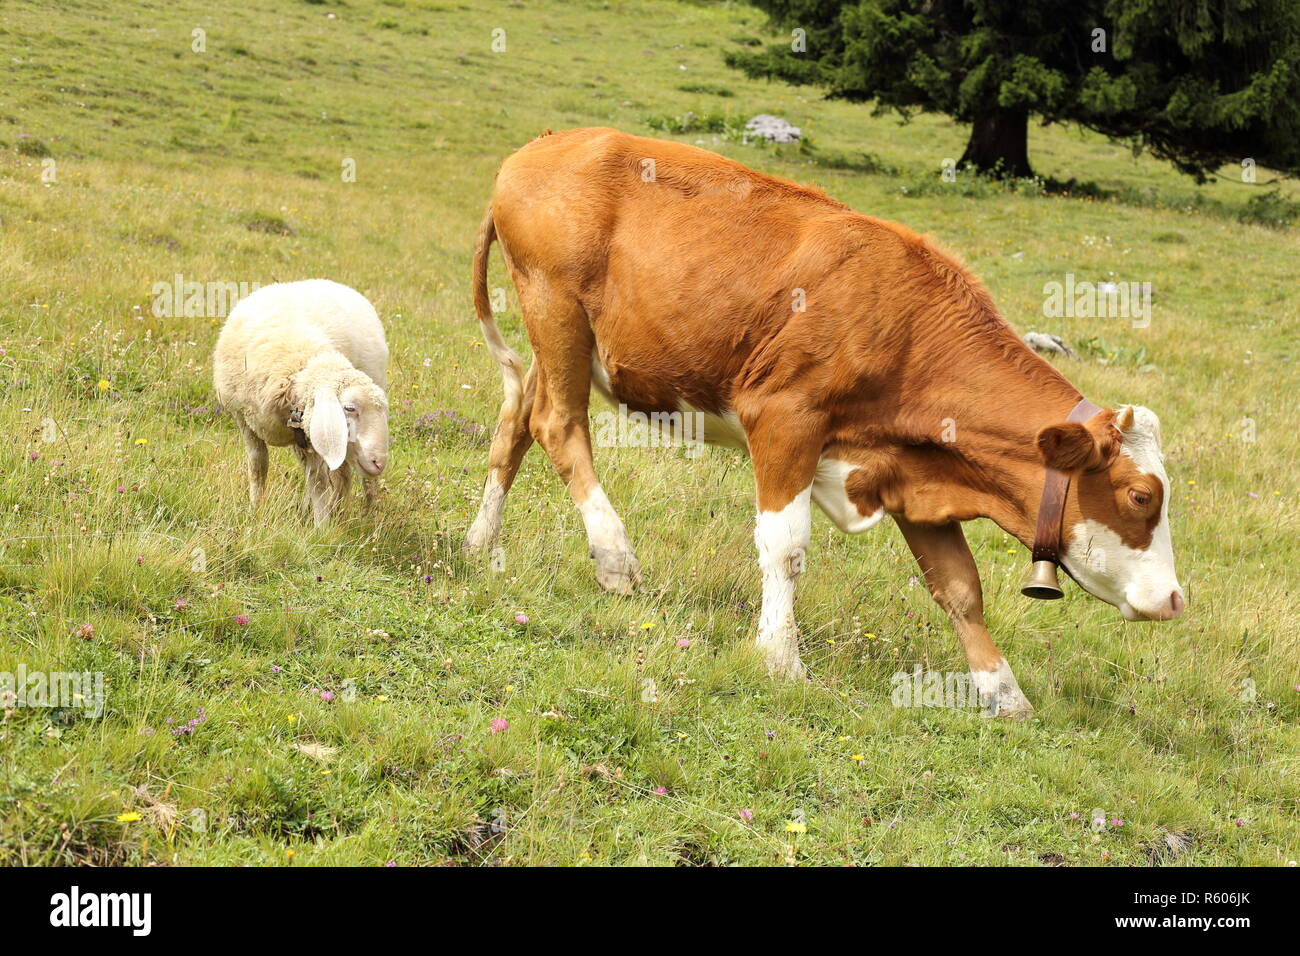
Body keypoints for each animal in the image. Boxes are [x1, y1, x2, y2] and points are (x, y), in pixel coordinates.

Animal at [210, 280, 384, 528]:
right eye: (350, 408)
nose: (379, 463)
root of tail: (334, 283)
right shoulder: (244, 419)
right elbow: (258, 467)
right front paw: (256, 509)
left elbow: (319, 482)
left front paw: (322, 529)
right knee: (340, 473)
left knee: (355, 479)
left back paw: (363, 514)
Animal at [467, 128, 1190, 717]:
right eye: (1139, 496)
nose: (1176, 599)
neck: (909, 328)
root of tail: (540, 145)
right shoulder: (785, 418)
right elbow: (784, 546)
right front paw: (780, 659)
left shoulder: (915, 469)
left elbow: (961, 586)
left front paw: (1004, 691)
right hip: (555, 310)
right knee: (558, 425)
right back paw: (614, 556)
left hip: (558, 342)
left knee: (516, 422)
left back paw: (479, 544)